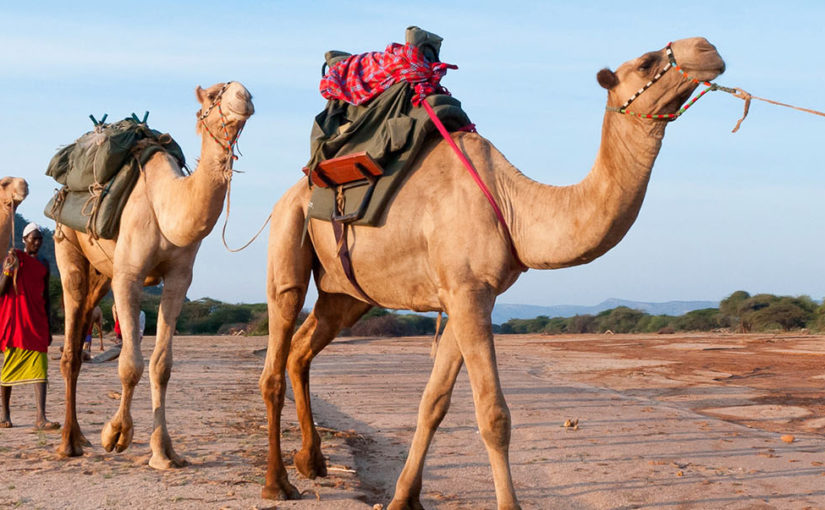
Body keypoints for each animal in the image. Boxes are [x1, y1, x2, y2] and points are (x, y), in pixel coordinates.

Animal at [53, 81, 253, 468]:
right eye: (214, 95)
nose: (244, 95)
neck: (167, 205)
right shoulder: (128, 276)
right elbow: (130, 364)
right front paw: (115, 435)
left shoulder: (178, 278)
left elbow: (162, 365)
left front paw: (163, 452)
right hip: (67, 244)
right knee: (70, 342)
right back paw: (68, 442)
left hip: (102, 272)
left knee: (83, 328)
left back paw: (80, 436)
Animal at [260, 37, 724, 508]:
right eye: (646, 62)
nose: (707, 48)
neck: (514, 205)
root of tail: (296, 189)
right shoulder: (467, 291)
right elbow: (493, 414)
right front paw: (506, 503)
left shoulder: (466, 294)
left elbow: (433, 402)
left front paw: (404, 497)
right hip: (288, 234)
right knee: (276, 352)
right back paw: (278, 482)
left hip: (347, 294)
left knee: (302, 349)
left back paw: (312, 461)